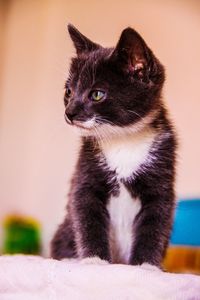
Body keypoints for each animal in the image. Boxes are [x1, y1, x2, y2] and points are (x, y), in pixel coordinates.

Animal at [51, 24, 177, 266]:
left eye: (97, 94)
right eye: (68, 92)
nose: (69, 113)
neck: (123, 139)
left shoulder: (161, 181)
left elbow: (155, 226)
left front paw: (146, 266)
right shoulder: (85, 177)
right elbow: (87, 219)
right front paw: (95, 261)